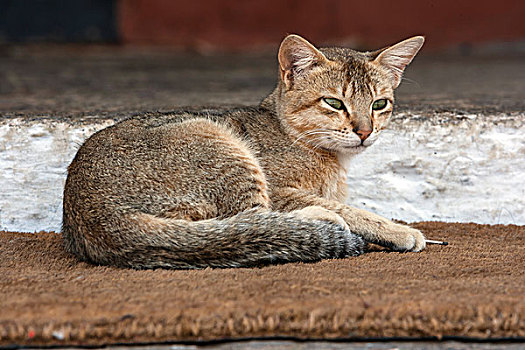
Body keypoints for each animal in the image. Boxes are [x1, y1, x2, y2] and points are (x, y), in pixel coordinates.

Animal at [63, 34, 426, 270]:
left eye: (379, 104)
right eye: (334, 103)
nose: (365, 132)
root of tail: (92, 216)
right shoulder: (280, 190)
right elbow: (350, 210)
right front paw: (399, 230)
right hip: (221, 147)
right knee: (252, 220)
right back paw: (320, 219)